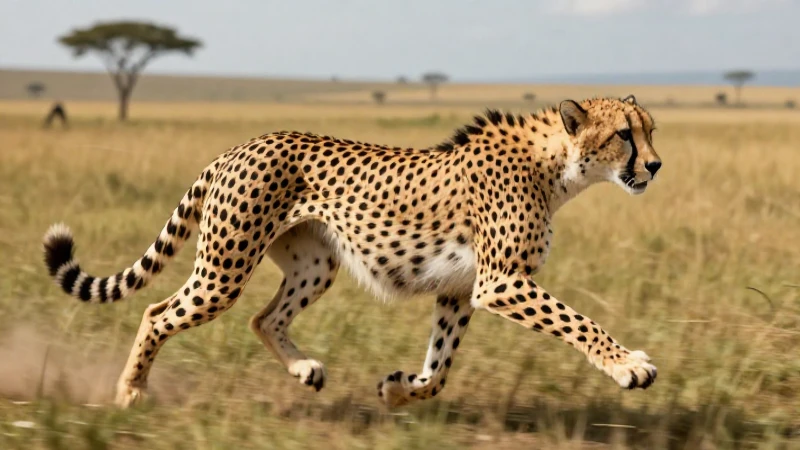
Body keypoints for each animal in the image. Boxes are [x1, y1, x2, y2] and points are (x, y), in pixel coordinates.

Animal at [42, 95, 661, 409]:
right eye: (625, 134)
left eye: (651, 129)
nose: (655, 165)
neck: (558, 165)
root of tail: (237, 147)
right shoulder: (501, 282)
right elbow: (578, 321)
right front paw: (627, 365)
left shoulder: (460, 290)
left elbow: (440, 366)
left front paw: (400, 390)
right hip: (224, 267)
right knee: (157, 312)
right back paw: (131, 389)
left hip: (317, 264)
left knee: (264, 318)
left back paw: (303, 370)